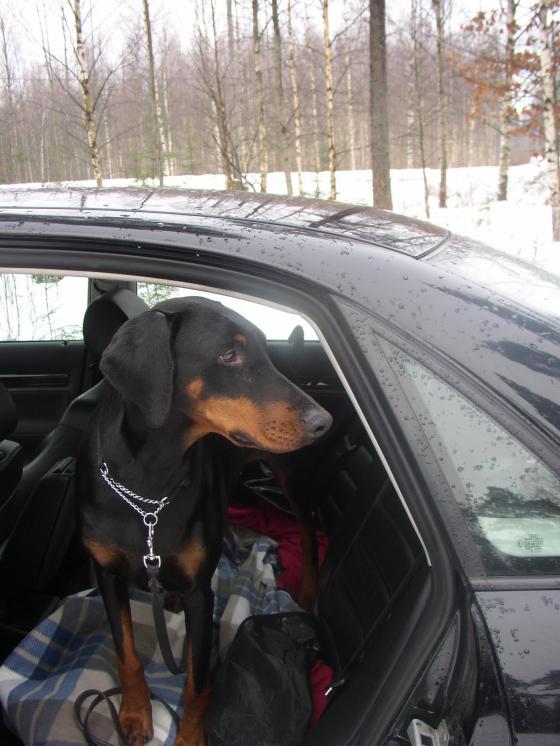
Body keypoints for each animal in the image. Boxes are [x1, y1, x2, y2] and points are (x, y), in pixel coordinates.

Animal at [78, 296, 332, 744]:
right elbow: (126, 653)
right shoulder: (106, 572)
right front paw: (135, 713)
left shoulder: (202, 594)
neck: (149, 482)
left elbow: (197, 683)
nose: (324, 422)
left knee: (306, 532)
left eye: (263, 350)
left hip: (294, 478)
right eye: (227, 355)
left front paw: (191, 735)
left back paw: (306, 587)